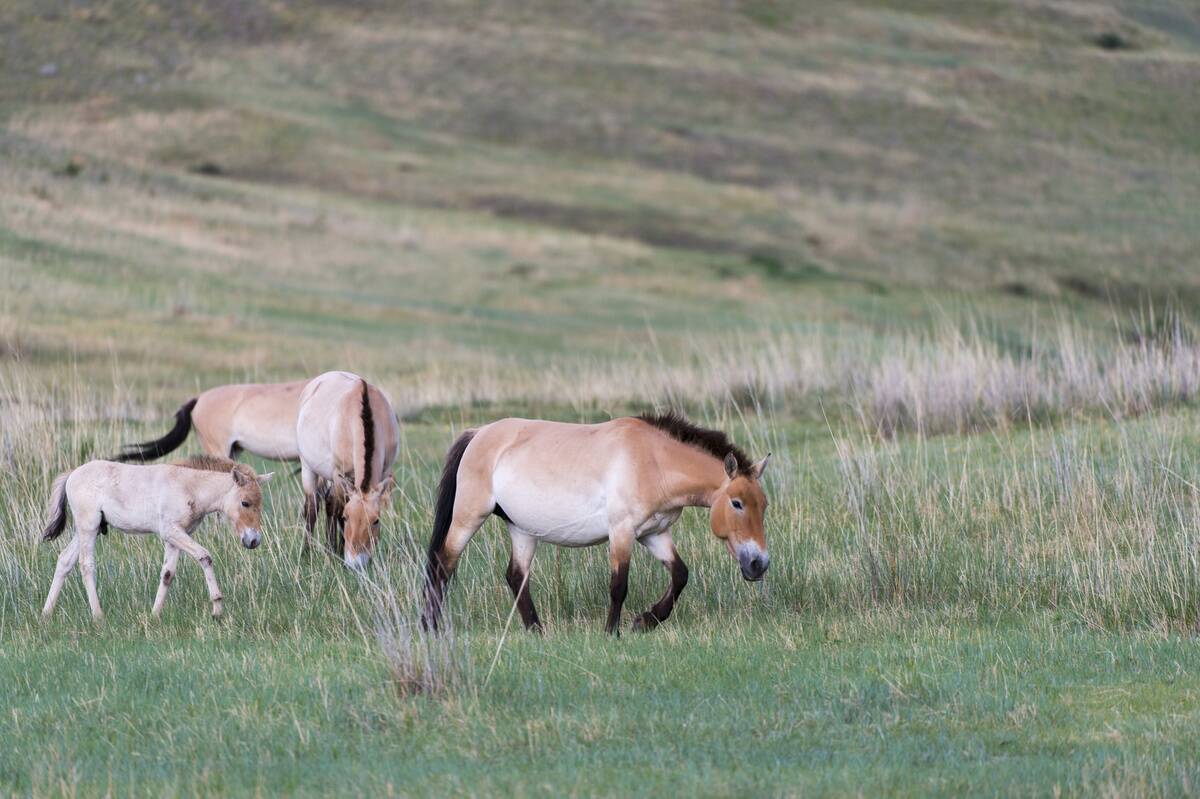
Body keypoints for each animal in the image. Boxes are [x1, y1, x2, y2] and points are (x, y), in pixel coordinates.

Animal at [39, 455, 273, 621]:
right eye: (245, 502)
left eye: (261, 504)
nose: (253, 541)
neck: (189, 486)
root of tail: (72, 474)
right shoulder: (171, 532)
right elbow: (204, 556)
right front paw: (217, 609)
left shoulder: (176, 537)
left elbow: (167, 574)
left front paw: (154, 615)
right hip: (88, 528)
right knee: (86, 565)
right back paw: (98, 616)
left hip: (87, 530)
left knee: (64, 560)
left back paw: (45, 614)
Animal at [297, 371, 399, 570]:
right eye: (346, 518)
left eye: (376, 521)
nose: (356, 563)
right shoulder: (338, 474)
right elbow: (336, 507)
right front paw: (332, 550)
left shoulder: (384, 473)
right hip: (308, 467)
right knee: (313, 507)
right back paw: (308, 549)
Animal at [421, 411, 770, 635]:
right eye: (737, 503)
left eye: (764, 505)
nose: (759, 564)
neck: (653, 461)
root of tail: (478, 433)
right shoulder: (622, 532)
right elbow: (618, 586)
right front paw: (612, 632)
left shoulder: (654, 533)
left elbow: (680, 575)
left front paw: (646, 621)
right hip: (468, 517)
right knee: (443, 564)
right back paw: (430, 627)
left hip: (521, 529)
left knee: (516, 576)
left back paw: (536, 630)